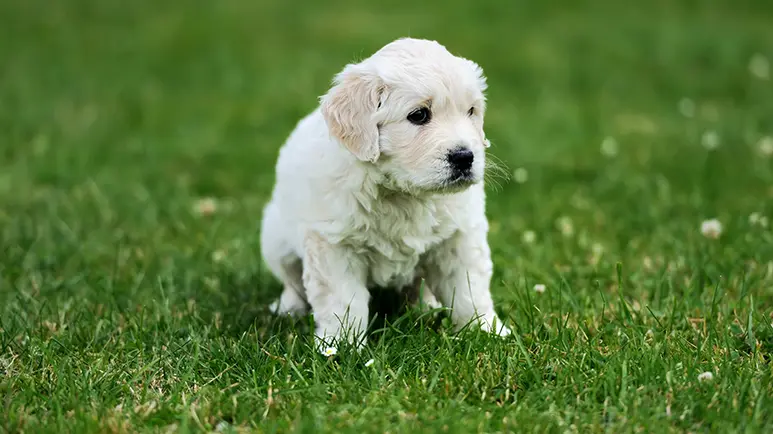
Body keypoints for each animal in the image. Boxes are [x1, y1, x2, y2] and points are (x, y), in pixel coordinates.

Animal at [260, 36, 512, 350]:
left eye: (471, 112)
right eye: (419, 115)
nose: (465, 157)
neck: (402, 192)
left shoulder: (459, 238)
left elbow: (470, 290)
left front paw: (487, 332)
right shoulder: (333, 245)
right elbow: (343, 300)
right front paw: (340, 346)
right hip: (276, 240)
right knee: (292, 282)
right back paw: (288, 309)